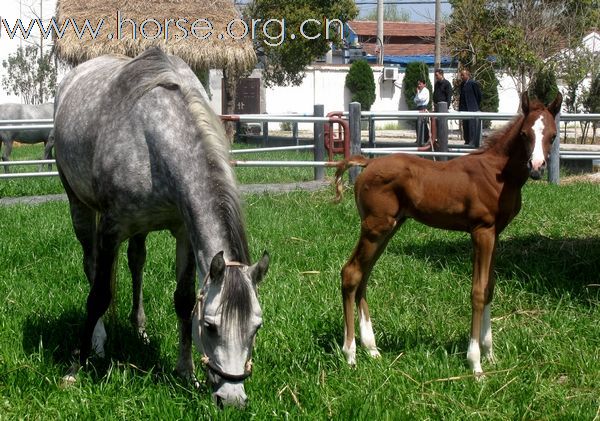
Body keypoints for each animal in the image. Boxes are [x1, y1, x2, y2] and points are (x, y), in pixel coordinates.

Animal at [54, 48, 270, 406]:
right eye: (210, 326)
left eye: (256, 327)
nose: (232, 398)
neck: (154, 138)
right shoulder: (111, 229)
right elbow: (98, 295)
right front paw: (76, 367)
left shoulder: (184, 233)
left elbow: (183, 300)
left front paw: (187, 373)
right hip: (80, 209)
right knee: (92, 265)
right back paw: (98, 342)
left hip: (138, 229)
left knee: (136, 263)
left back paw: (139, 329)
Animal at [336, 92, 560, 374]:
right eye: (524, 134)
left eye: (552, 135)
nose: (537, 166)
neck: (498, 173)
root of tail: (369, 162)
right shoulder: (481, 232)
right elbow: (477, 292)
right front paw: (475, 363)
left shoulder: (495, 234)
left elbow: (489, 288)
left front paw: (490, 355)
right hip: (376, 228)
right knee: (351, 273)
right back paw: (350, 354)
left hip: (388, 228)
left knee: (363, 275)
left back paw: (372, 349)